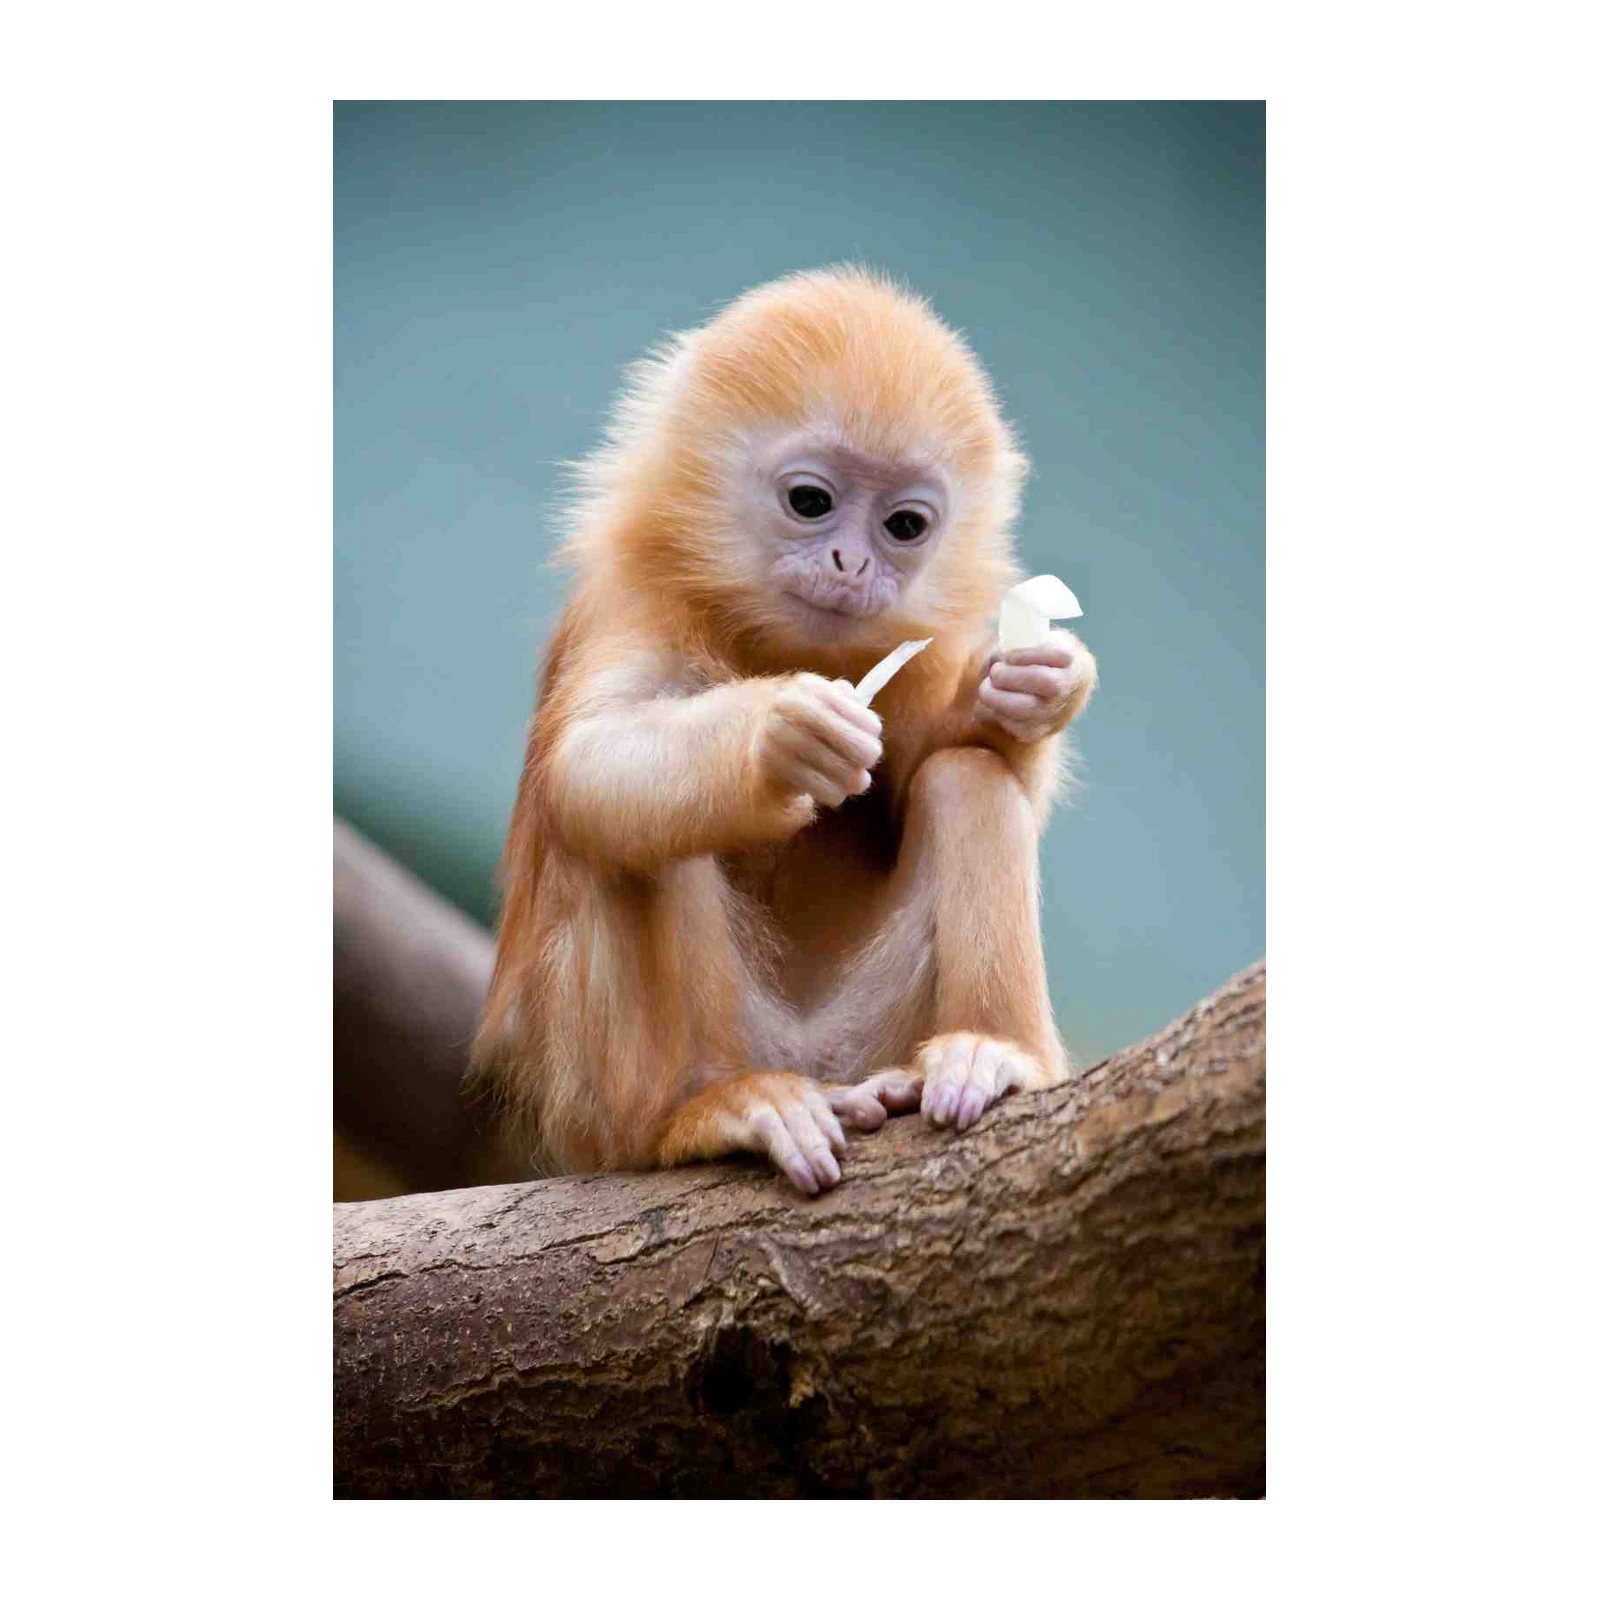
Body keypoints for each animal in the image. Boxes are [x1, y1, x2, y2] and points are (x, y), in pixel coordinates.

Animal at [468, 266, 1097, 1195]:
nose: (852, 564)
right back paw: (712, 1107)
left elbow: (944, 762)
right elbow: (588, 766)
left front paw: (1035, 687)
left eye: (903, 526)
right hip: (600, 1104)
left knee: (966, 778)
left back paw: (992, 1052)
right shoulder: (632, 604)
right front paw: (780, 737)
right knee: (634, 833)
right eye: (811, 502)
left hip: (870, 1033)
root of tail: (817, 1064)